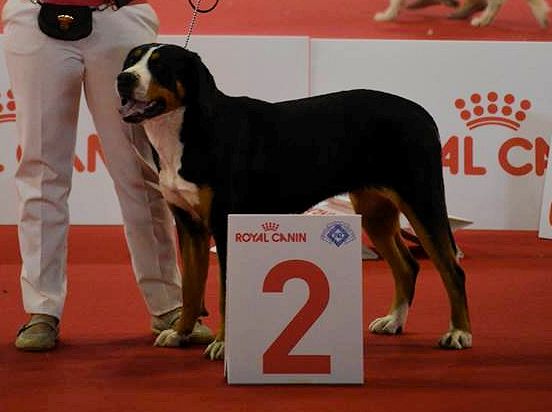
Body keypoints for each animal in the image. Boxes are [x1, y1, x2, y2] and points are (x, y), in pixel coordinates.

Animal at [118, 44, 472, 360]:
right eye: (132, 60)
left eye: (161, 67)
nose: (123, 78)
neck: (186, 131)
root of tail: (420, 113)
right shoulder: (189, 225)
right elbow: (191, 289)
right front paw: (180, 333)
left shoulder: (224, 222)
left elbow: (225, 295)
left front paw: (223, 346)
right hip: (375, 211)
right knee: (407, 265)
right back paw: (393, 320)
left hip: (422, 200)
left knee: (451, 269)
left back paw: (459, 333)